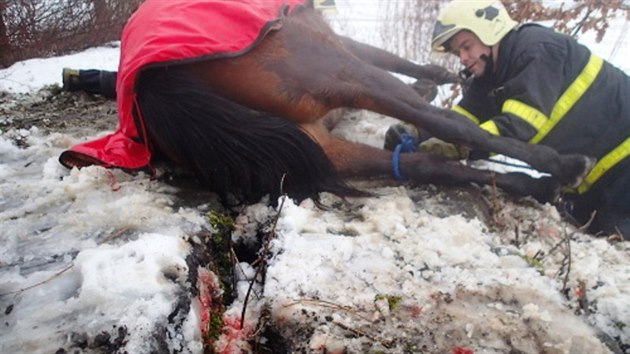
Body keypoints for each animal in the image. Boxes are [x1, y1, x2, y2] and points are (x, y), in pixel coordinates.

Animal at [58, 0, 592, 205]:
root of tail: (152, 80)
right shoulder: (345, 49)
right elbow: (405, 69)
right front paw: (436, 79)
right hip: (340, 71)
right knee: (447, 126)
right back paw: (561, 166)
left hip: (321, 145)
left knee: (427, 166)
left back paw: (537, 186)